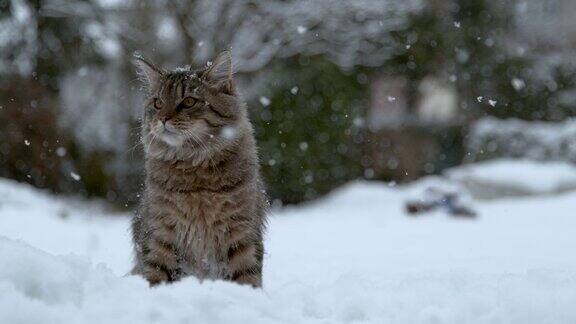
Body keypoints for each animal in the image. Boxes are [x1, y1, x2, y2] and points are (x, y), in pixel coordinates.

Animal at [130, 51, 268, 288]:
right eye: (158, 103)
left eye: (188, 101)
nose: (163, 118)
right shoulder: (161, 231)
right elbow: (155, 273)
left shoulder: (242, 231)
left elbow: (246, 276)